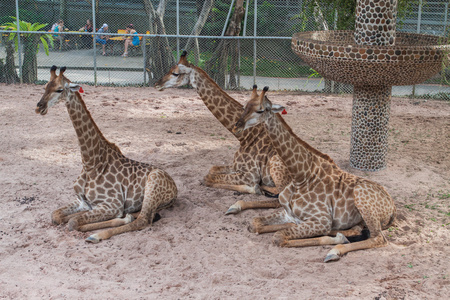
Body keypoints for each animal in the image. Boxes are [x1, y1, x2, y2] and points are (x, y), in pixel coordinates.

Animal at [35, 65, 178, 244]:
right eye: (45, 87)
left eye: (59, 89)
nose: (39, 107)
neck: (90, 162)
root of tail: (175, 189)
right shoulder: (82, 202)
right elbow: (56, 215)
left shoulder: (112, 204)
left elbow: (73, 222)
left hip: (153, 185)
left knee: (143, 220)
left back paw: (97, 235)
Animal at [155, 49, 292, 213]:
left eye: (175, 73)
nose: (157, 84)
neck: (245, 136)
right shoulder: (236, 166)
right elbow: (212, 169)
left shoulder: (250, 174)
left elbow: (207, 178)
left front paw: (253, 188)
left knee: (280, 198)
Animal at [232, 85, 398, 262]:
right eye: (245, 106)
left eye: (260, 110)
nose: (237, 126)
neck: (300, 176)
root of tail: (393, 207)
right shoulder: (288, 213)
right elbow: (254, 222)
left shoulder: (322, 220)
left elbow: (278, 236)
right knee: (359, 230)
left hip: (363, 201)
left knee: (378, 238)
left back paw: (335, 250)